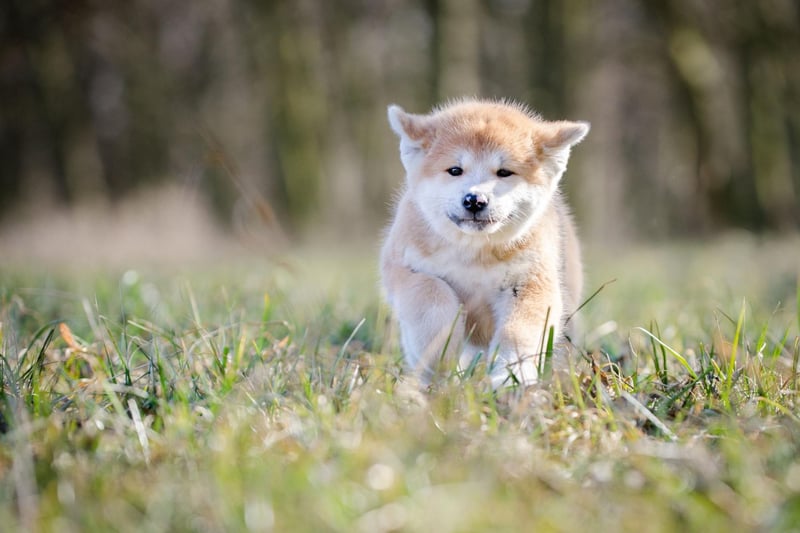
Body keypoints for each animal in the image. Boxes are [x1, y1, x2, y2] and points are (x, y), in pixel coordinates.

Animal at [382, 97, 588, 386]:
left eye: (504, 172)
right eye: (455, 170)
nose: (474, 200)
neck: (476, 255)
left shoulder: (531, 282)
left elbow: (518, 331)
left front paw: (511, 375)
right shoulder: (405, 268)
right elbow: (432, 298)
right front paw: (441, 358)